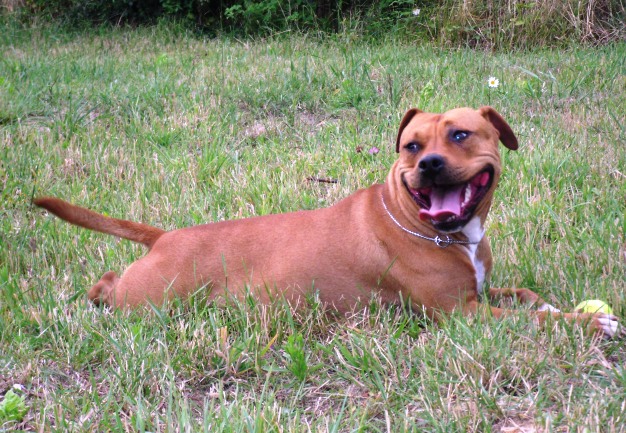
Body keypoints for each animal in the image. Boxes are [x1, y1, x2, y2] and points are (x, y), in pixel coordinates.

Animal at [36, 106, 616, 336]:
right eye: (411, 146)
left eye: (460, 134)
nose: (428, 164)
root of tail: (166, 236)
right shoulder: (461, 314)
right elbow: (535, 320)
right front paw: (593, 322)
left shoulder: (480, 292)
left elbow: (527, 299)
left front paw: (557, 305)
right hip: (152, 298)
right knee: (110, 285)